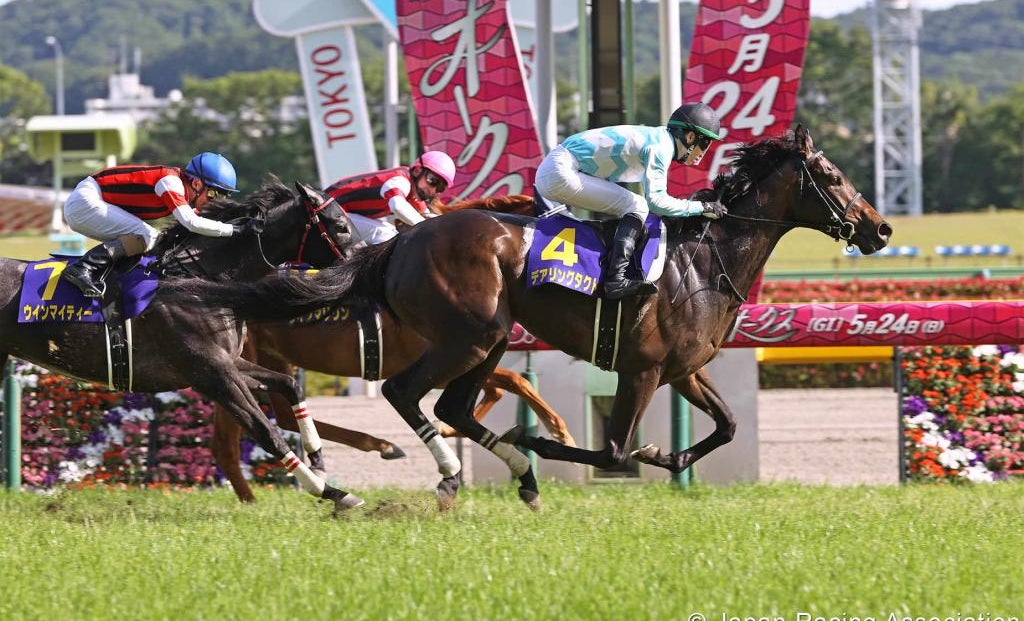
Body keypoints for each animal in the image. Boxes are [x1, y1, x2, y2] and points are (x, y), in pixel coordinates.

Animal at [0, 177, 368, 514]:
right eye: (340, 225)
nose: (366, 261)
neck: (196, 283)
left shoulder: (229, 364)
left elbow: (290, 384)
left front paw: (318, 457)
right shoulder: (213, 375)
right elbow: (266, 431)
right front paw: (333, 492)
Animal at [163, 126, 892, 510]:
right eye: (831, 174)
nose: (880, 227)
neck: (702, 259)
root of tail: (404, 241)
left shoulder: (685, 370)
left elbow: (729, 425)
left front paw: (671, 453)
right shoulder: (644, 368)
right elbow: (615, 447)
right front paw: (563, 443)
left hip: (484, 340)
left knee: (446, 407)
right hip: (469, 334)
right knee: (401, 395)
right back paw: (439, 470)